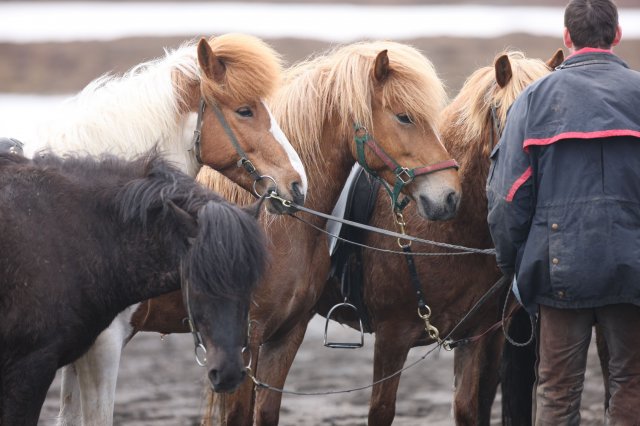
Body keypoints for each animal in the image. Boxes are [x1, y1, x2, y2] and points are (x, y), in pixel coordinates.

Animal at [116, 38, 460, 424]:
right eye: (404, 116)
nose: (449, 194)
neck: (273, 228)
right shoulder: (244, 338)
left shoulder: (286, 335)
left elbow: (266, 412)